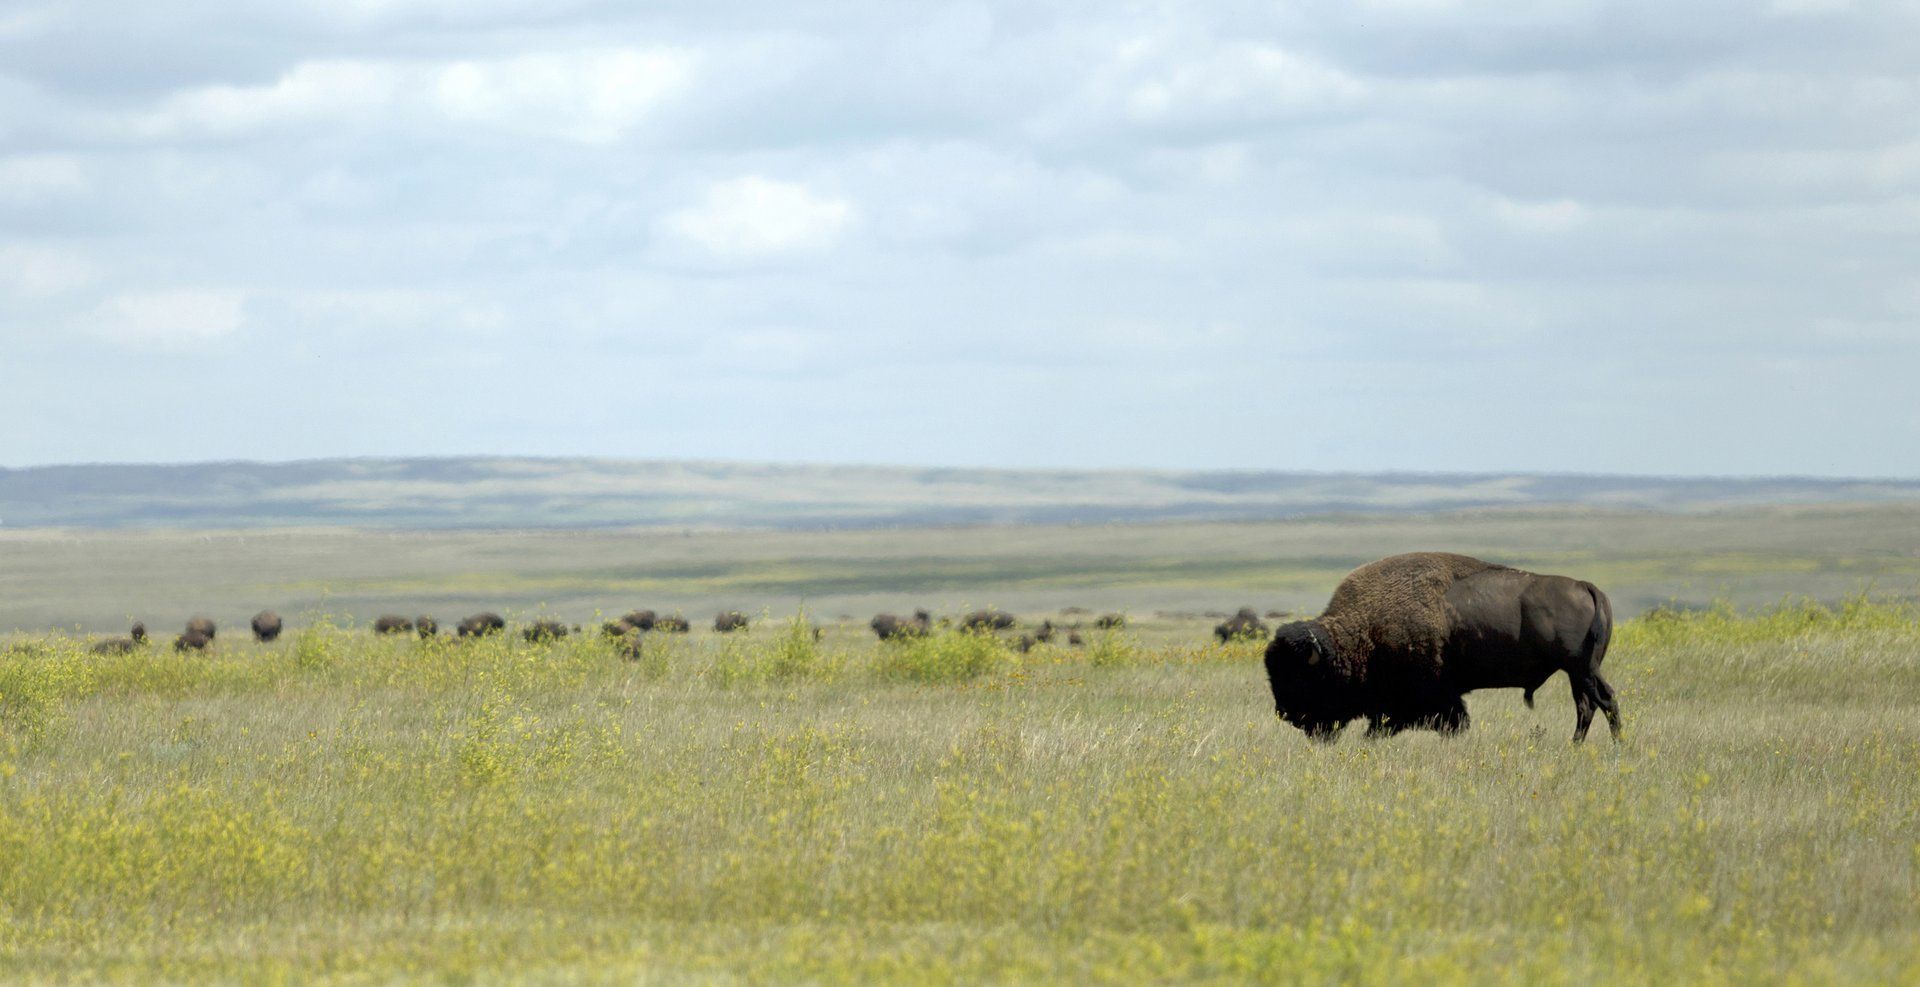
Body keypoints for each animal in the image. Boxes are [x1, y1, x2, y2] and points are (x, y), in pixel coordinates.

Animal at [1263, 552, 1620, 744]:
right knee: (1588, 705)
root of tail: (1586, 586)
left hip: (1580, 669)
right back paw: (1578, 745)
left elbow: (1449, 721)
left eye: (1301, 676)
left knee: (1603, 701)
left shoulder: (1432, 697)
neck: (1362, 630)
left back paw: (1614, 745)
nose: (1284, 712)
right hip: (1580, 672)